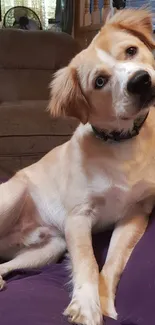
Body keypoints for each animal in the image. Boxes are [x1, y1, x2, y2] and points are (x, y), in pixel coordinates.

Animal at [0, 7, 155, 324]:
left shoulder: (135, 214)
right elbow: (87, 262)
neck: (121, 143)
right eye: (100, 81)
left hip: (49, 249)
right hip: (12, 197)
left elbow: (113, 261)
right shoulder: (78, 217)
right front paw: (85, 305)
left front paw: (105, 302)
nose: (140, 81)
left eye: (131, 51)